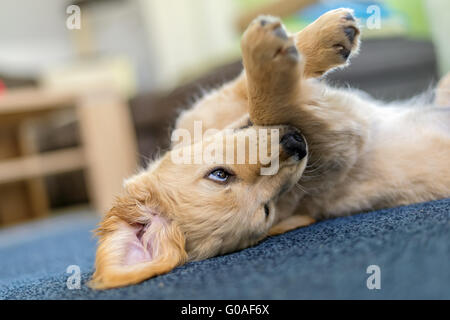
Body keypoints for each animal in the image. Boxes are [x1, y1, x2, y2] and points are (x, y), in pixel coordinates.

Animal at [90, 9, 450, 290]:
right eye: (266, 210)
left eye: (219, 175)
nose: (296, 144)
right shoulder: (343, 139)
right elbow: (270, 102)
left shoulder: (206, 111)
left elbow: (248, 90)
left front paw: (296, 43)